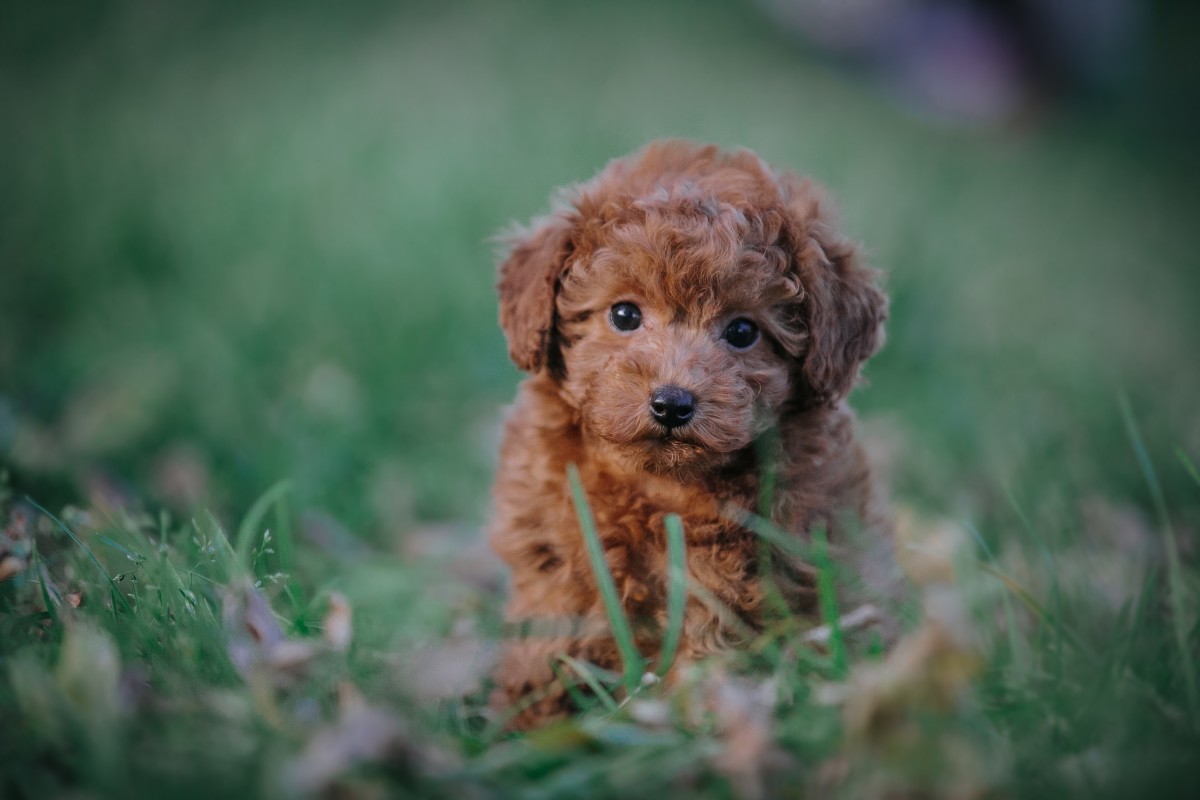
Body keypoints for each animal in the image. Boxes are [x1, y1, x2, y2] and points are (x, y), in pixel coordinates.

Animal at [487, 140, 892, 729]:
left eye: (743, 331)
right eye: (624, 314)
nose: (672, 403)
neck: (657, 484)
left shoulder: (726, 570)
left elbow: (706, 638)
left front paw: (692, 720)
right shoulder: (549, 541)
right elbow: (550, 624)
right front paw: (533, 713)